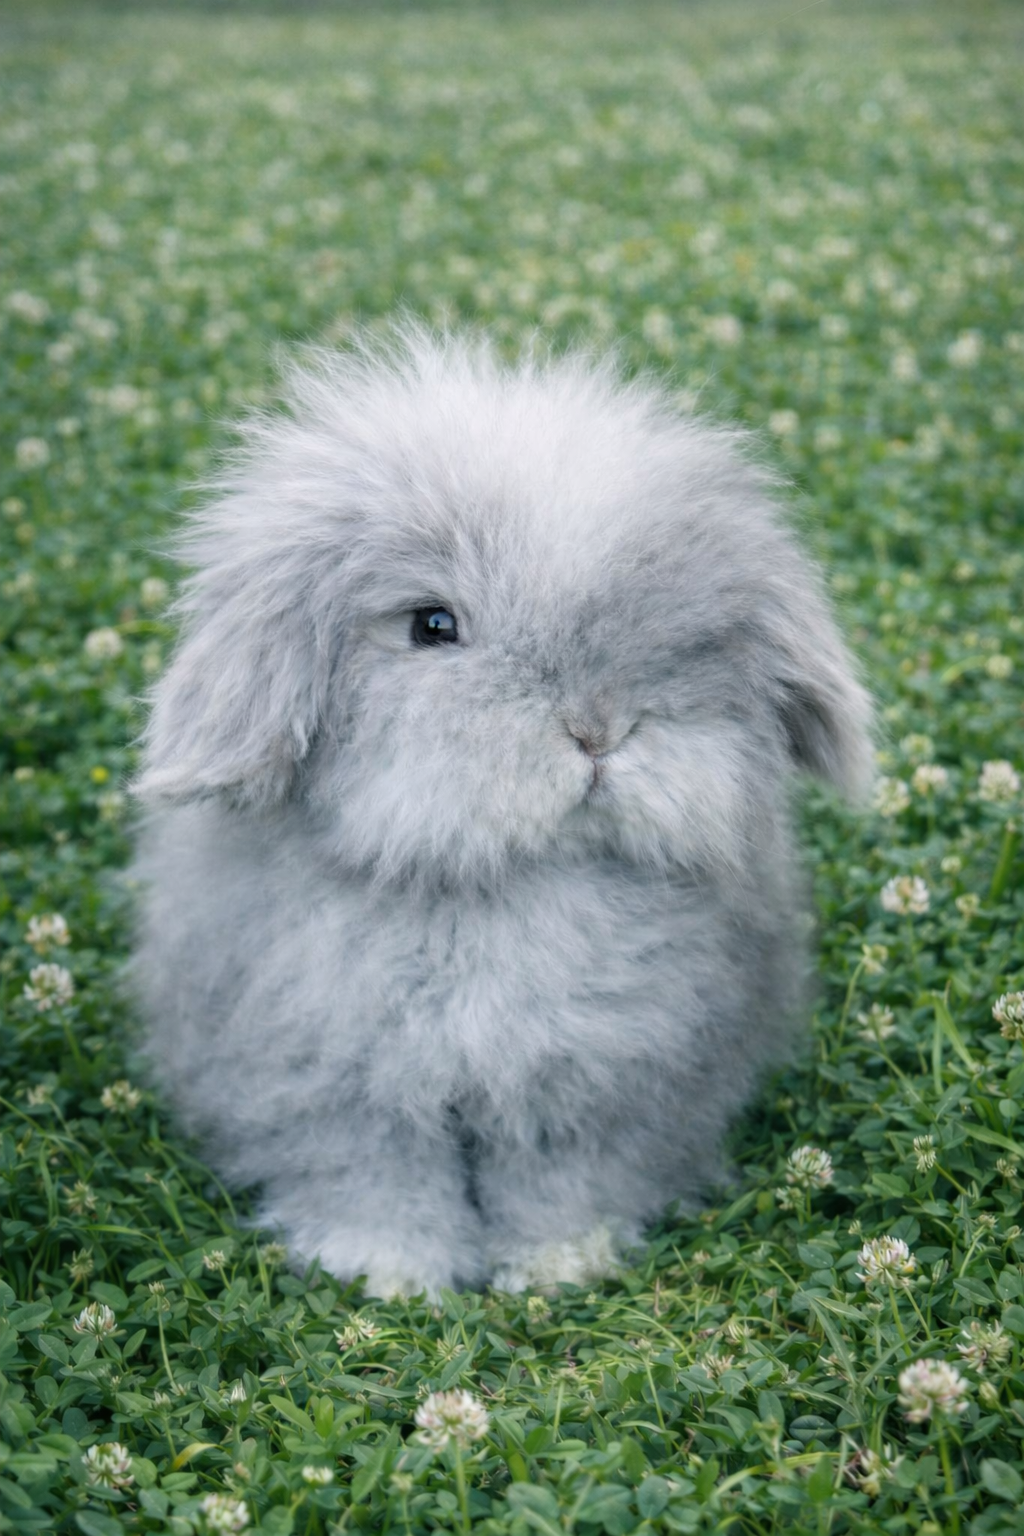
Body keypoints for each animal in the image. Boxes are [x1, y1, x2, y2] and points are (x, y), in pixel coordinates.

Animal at [132, 324, 872, 1299]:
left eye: (684, 637)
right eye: (432, 625)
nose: (598, 732)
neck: (505, 892)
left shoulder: (592, 1091)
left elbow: (561, 1183)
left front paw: (561, 1267)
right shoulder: (340, 1094)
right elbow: (378, 1184)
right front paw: (391, 1276)